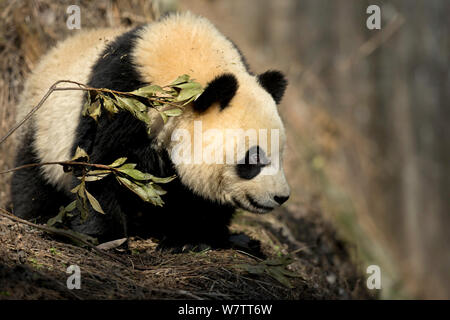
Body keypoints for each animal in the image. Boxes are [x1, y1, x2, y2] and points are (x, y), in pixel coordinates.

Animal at [12, 13, 290, 250]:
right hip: (43, 126)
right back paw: (42, 217)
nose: (281, 197)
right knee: (35, 178)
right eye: (253, 159)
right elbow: (100, 164)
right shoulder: (121, 99)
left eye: (280, 154)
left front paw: (190, 239)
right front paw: (106, 238)